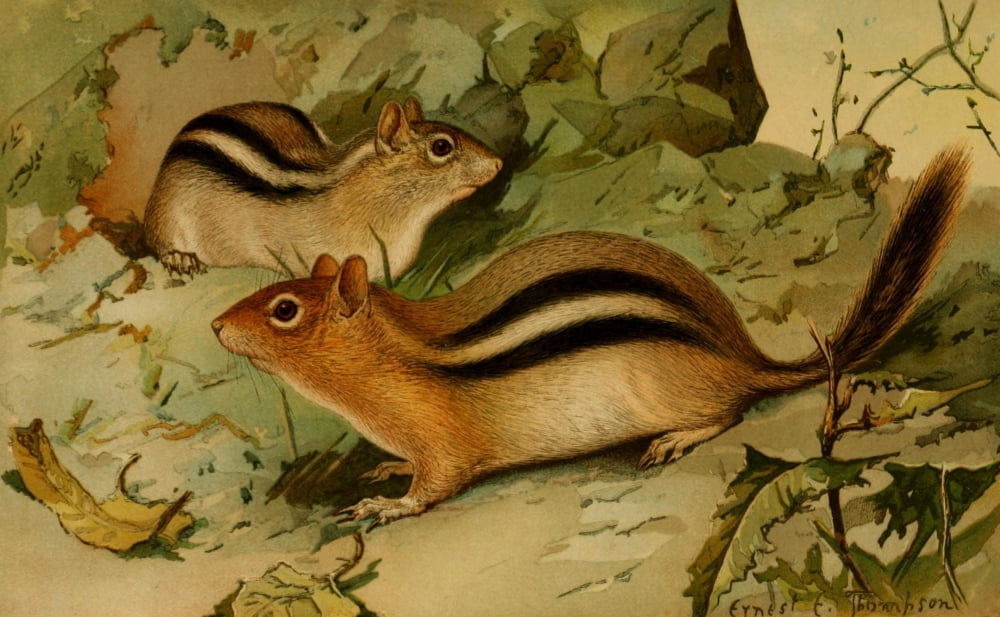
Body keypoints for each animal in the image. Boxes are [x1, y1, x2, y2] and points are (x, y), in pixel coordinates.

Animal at [212, 145, 970, 528]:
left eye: (284, 310)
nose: (217, 324)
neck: (391, 349)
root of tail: (743, 357)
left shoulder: (445, 441)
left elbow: (435, 484)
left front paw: (387, 502)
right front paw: (384, 470)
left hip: (666, 390)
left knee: (728, 412)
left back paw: (676, 439)